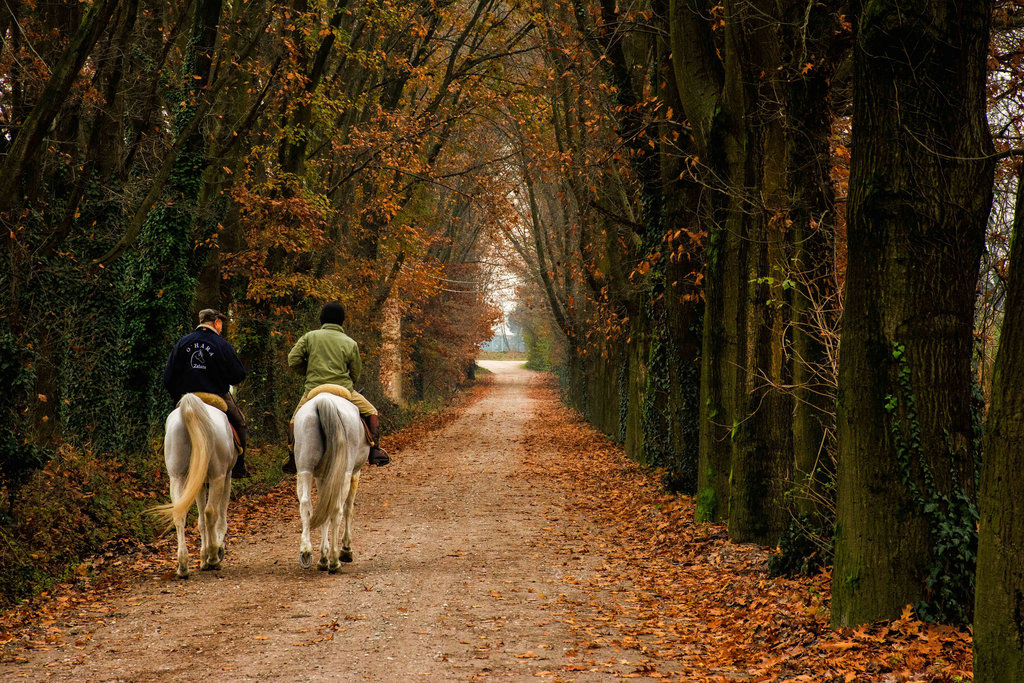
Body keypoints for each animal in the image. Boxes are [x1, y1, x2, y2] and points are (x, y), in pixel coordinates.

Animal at [149, 393, 238, 581]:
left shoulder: (199, 483)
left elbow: (200, 521)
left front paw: (203, 559)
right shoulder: (226, 476)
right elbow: (219, 518)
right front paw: (216, 551)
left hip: (177, 477)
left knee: (180, 513)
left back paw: (183, 566)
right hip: (218, 476)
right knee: (211, 512)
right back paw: (213, 558)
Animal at [294, 389, 370, 573]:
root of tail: (324, 400)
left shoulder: (324, 477)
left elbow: (323, 509)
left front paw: (323, 556)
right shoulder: (354, 474)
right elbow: (349, 509)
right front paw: (345, 550)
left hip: (304, 469)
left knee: (306, 505)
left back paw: (306, 552)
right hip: (344, 473)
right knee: (337, 510)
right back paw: (335, 560)